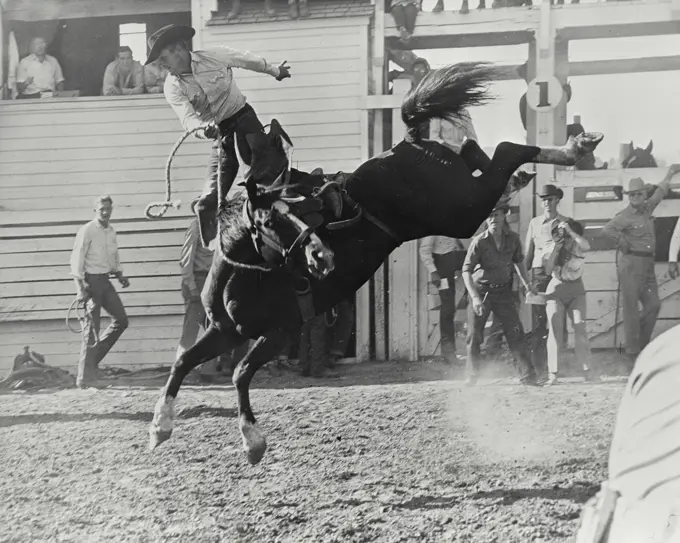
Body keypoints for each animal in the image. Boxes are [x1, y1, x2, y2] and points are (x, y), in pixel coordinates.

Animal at [147, 61, 600, 466]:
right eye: (271, 219)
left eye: (298, 208)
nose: (322, 257)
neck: (243, 276)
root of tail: (409, 142)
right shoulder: (224, 331)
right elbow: (183, 361)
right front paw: (160, 426)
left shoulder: (280, 332)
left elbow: (240, 373)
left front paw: (253, 442)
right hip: (459, 203)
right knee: (480, 153)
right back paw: (547, 163)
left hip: (460, 210)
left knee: (504, 152)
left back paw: (573, 150)